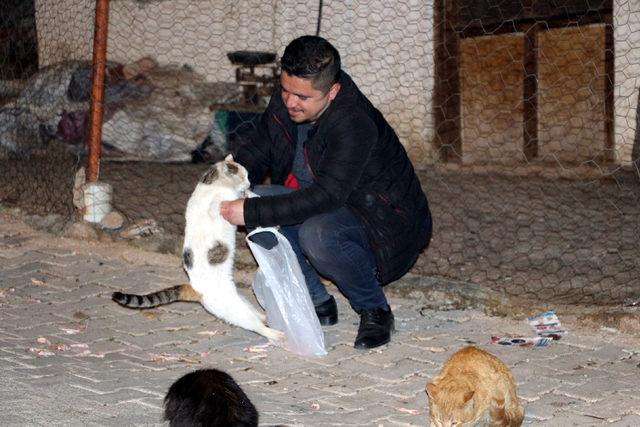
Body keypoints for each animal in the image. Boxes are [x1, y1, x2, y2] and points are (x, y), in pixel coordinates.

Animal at [114, 155, 284, 342]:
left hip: (240, 301)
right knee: (255, 325)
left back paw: (265, 317)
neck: (211, 183)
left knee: (255, 315)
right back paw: (276, 333)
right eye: (244, 176)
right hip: (234, 309)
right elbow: (223, 201)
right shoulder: (218, 202)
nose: (249, 183)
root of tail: (195, 288)